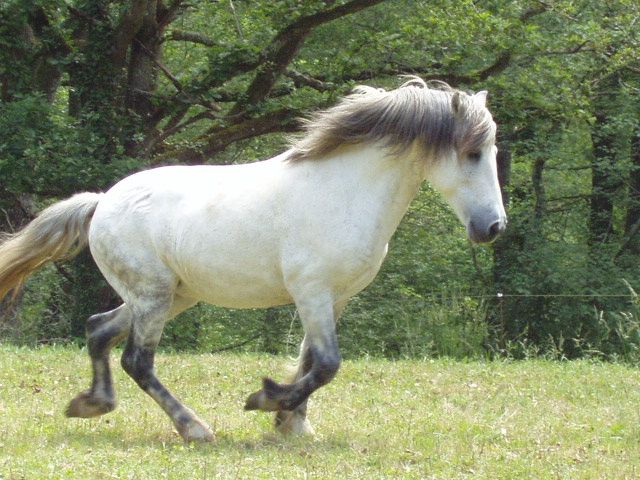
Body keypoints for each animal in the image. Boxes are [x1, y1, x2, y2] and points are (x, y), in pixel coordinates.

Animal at [0, 78, 504, 442]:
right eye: (472, 153)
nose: (493, 228)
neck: (343, 191)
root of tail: (102, 202)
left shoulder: (334, 298)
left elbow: (309, 360)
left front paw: (292, 424)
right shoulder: (312, 292)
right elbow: (326, 363)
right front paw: (267, 402)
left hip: (172, 296)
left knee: (98, 330)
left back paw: (92, 404)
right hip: (153, 296)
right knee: (137, 361)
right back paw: (194, 428)